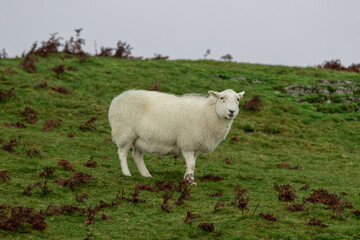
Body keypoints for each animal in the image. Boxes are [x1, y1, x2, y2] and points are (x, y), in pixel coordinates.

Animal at [108, 89, 245, 185]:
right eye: (222, 98)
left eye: (238, 99)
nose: (231, 111)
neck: (208, 113)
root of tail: (117, 99)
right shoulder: (187, 144)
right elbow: (191, 164)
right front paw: (191, 182)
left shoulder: (194, 147)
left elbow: (192, 164)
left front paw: (187, 179)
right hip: (125, 133)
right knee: (122, 153)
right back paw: (126, 174)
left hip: (140, 139)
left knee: (137, 156)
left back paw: (146, 175)